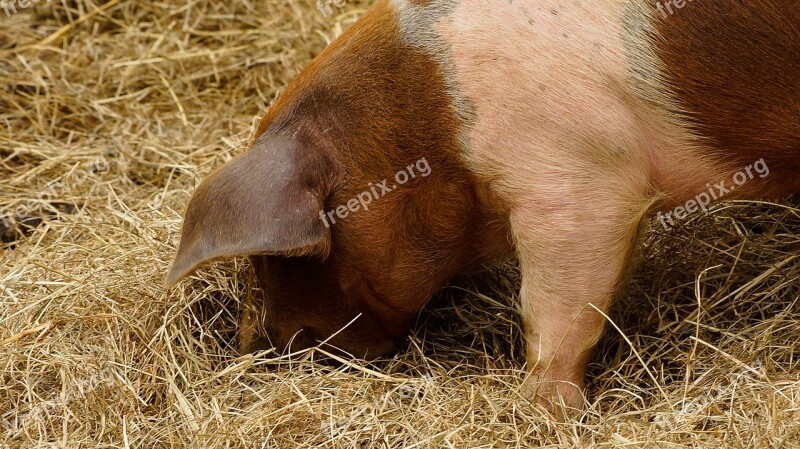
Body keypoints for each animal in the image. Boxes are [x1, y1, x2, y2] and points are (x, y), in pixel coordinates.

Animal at [164, 0, 800, 412]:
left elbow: (555, 311)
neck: (422, 130)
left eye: (276, 262)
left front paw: (541, 413)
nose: (254, 350)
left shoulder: (576, 181)